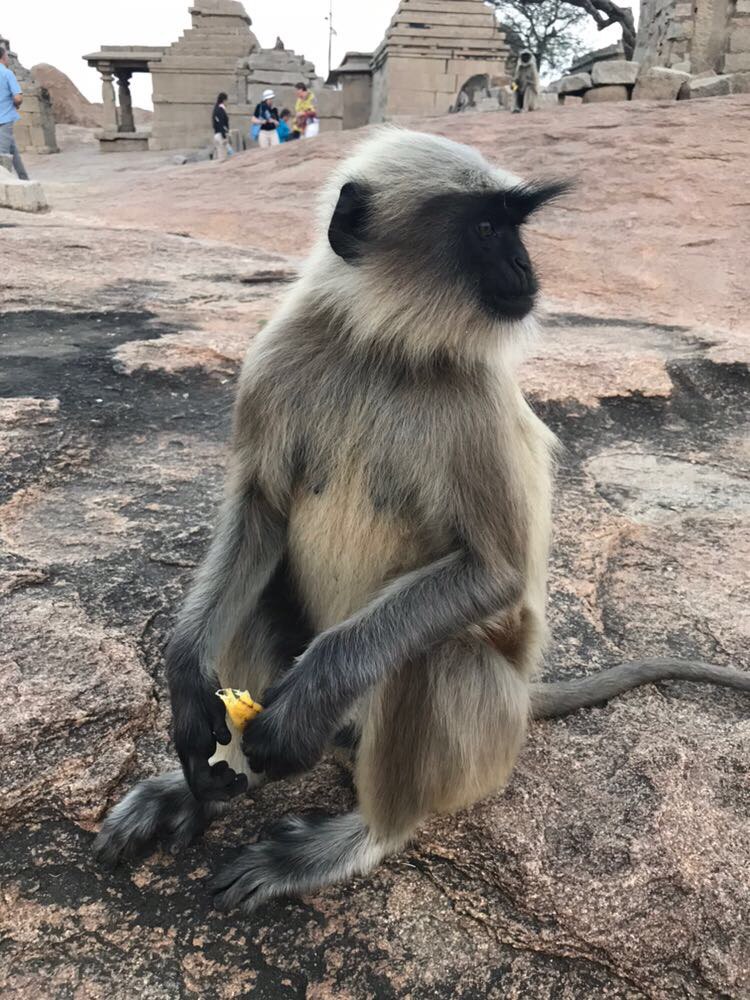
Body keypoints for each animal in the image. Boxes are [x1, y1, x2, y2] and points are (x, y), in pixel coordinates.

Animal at [95, 131, 750, 916]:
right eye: (488, 229)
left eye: (512, 227)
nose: (525, 269)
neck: (384, 346)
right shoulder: (277, 356)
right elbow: (260, 511)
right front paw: (188, 687)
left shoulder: (478, 403)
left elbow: (494, 572)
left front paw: (301, 703)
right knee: (258, 594)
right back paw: (207, 788)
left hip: (485, 732)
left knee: (432, 661)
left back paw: (355, 837)